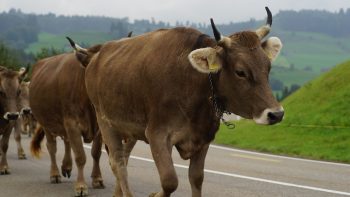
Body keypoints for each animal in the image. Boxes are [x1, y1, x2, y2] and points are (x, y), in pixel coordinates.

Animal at [29, 52, 104, 197]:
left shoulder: (100, 128)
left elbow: (96, 153)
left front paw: (97, 178)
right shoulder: (72, 124)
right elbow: (80, 156)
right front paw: (81, 186)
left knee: (67, 141)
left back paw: (67, 166)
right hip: (46, 123)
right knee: (52, 147)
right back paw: (55, 174)